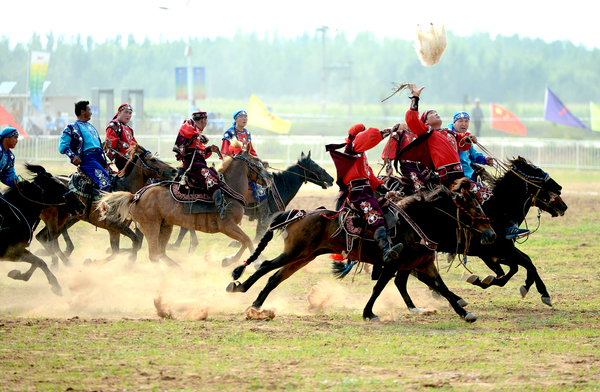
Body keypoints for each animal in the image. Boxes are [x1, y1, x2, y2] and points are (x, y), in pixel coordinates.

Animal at [0, 164, 85, 296]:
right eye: (60, 187)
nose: (81, 205)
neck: (10, 217)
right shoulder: (10, 251)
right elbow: (40, 262)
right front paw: (56, 286)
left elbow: (37, 261)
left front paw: (19, 275)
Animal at [35, 142, 177, 268]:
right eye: (153, 159)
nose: (174, 171)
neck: (123, 187)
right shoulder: (114, 224)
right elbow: (135, 241)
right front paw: (129, 262)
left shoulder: (114, 229)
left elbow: (116, 252)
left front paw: (91, 262)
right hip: (57, 218)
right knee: (51, 240)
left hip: (64, 218)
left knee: (42, 237)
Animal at [99, 145, 274, 272]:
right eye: (257, 160)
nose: (270, 177)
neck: (228, 189)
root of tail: (136, 196)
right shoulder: (227, 225)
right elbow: (247, 240)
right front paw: (256, 263)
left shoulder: (230, 227)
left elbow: (245, 242)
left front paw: (227, 260)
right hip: (151, 227)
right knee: (153, 255)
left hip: (165, 226)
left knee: (160, 253)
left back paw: (177, 269)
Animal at [227, 179, 494, 324]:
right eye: (474, 206)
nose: (491, 234)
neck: (414, 223)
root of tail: (299, 213)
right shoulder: (393, 263)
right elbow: (380, 287)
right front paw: (368, 313)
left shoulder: (423, 264)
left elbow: (444, 289)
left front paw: (464, 313)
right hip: (296, 252)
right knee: (265, 266)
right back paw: (241, 288)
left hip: (304, 256)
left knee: (274, 277)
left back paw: (256, 305)